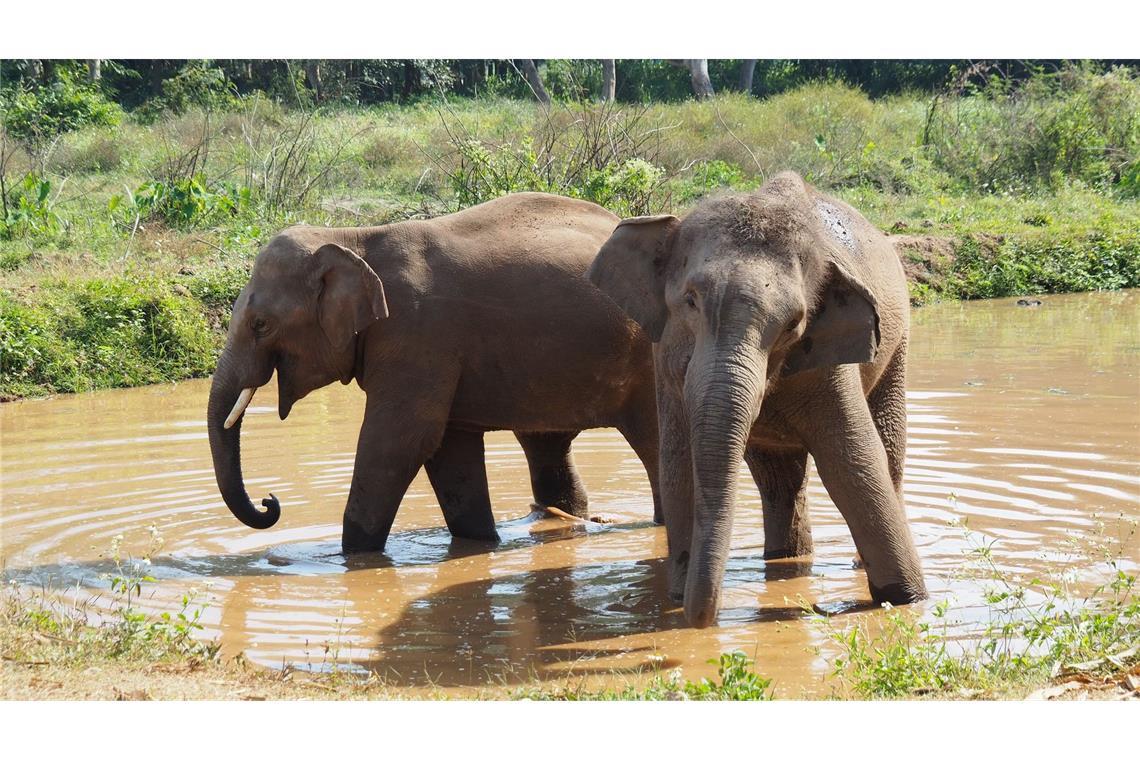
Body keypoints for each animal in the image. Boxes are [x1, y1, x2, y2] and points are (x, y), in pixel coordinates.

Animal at [209, 193, 665, 556]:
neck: (352, 237)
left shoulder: (418, 333)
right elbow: (448, 446)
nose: (270, 501)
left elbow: (401, 440)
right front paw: (481, 543)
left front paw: (351, 559)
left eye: (261, 325)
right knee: (545, 445)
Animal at [588, 174, 925, 628]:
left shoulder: (829, 362)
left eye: (793, 324)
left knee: (886, 451)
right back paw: (785, 559)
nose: (704, 619)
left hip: (898, 345)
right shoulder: (664, 359)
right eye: (690, 301)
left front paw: (907, 600)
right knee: (777, 480)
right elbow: (679, 464)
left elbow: (852, 462)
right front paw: (675, 599)